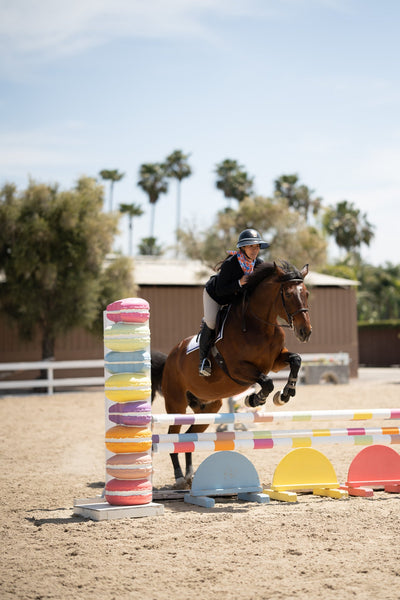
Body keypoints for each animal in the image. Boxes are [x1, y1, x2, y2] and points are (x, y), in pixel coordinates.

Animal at [152, 258, 310, 488]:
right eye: (288, 295)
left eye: (306, 293)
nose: (305, 332)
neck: (259, 326)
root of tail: (170, 358)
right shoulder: (238, 369)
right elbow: (267, 382)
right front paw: (254, 399)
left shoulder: (275, 362)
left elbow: (296, 360)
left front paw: (285, 394)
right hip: (176, 406)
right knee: (173, 437)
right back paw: (180, 477)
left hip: (208, 409)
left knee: (189, 438)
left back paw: (190, 476)